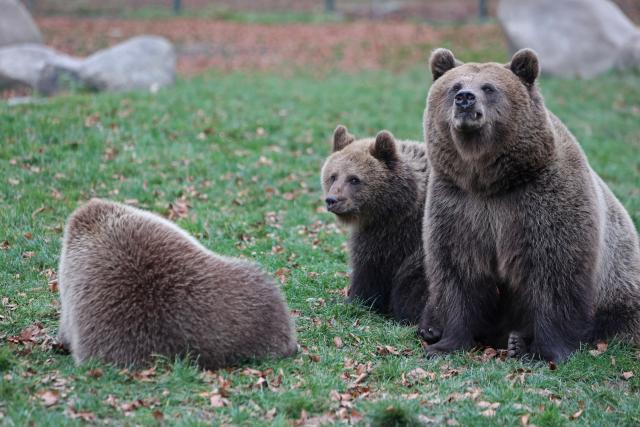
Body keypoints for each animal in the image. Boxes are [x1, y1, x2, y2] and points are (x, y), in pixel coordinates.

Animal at [418, 48, 640, 362]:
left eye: (489, 87)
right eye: (455, 86)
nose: (465, 99)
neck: (490, 182)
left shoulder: (540, 202)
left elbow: (554, 275)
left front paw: (545, 351)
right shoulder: (459, 204)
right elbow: (458, 271)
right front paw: (444, 344)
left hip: (620, 284)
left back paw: (518, 342)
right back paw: (432, 327)